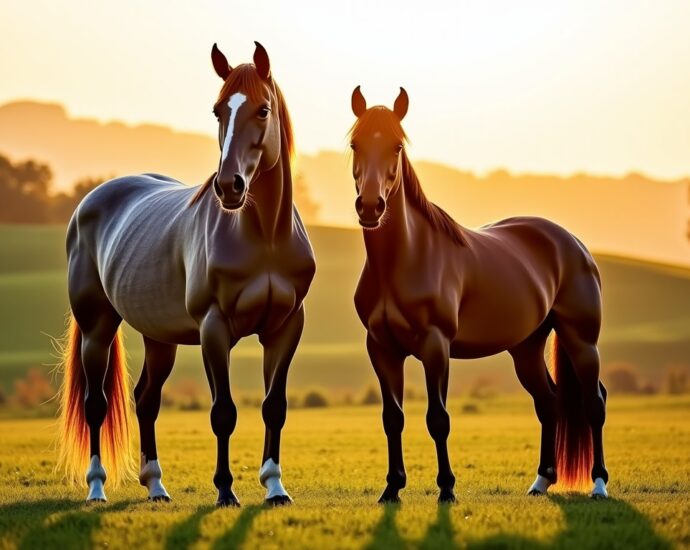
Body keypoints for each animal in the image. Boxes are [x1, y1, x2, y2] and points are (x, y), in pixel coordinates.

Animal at [56, 42, 315, 507]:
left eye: (263, 110)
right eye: (218, 110)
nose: (229, 187)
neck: (265, 236)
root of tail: (93, 198)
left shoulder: (285, 328)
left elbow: (275, 406)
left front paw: (274, 487)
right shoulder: (214, 328)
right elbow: (223, 411)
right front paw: (226, 491)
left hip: (160, 338)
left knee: (146, 400)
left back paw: (156, 486)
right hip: (96, 328)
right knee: (95, 405)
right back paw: (97, 487)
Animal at [348, 86, 608, 503]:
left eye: (397, 146)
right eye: (355, 143)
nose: (371, 206)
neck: (406, 258)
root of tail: (573, 243)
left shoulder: (436, 346)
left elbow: (438, 419)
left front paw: (447, 489)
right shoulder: (382, 348)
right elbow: (393, 418)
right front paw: (392, 488)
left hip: (582, 341)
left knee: (593, 402)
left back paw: (599, 484)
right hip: (526, 348)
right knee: (549, 403)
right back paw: (540, 482)